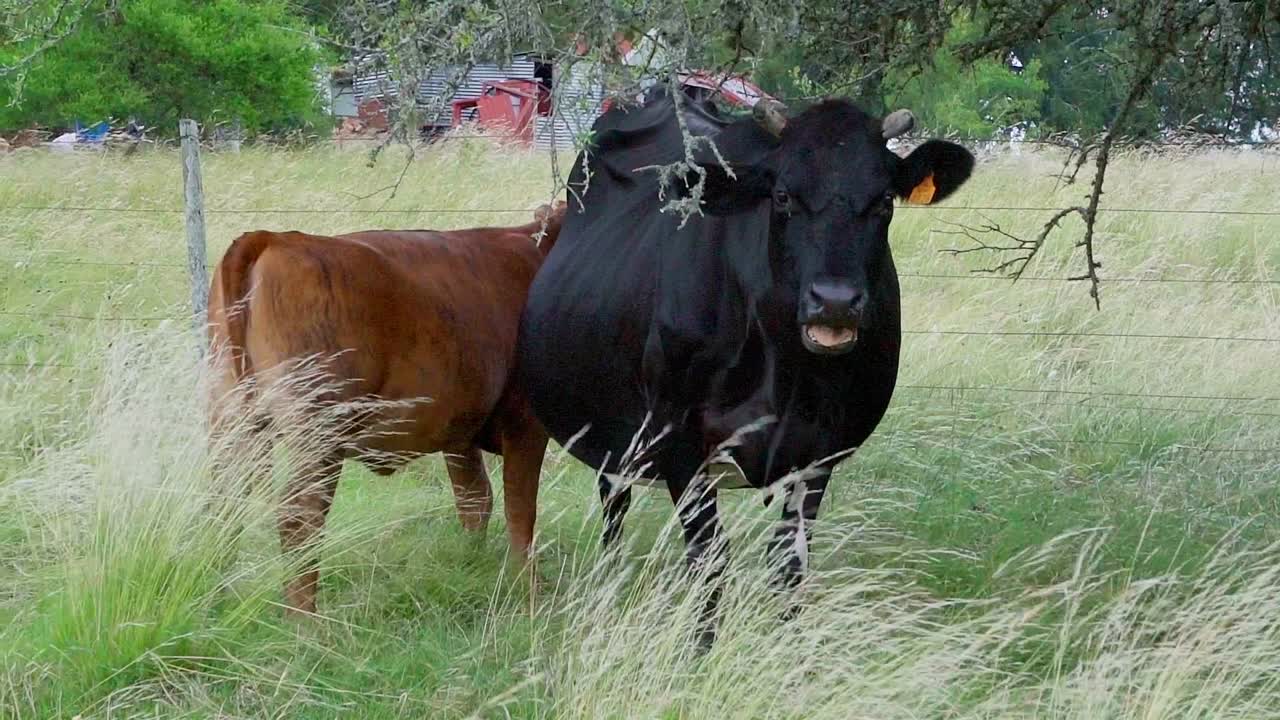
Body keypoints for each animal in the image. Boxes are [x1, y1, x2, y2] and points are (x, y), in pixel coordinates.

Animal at [207, 202, 566, 614]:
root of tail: (271, 238)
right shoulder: (525, 424)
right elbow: (520, 514)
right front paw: (532, 597)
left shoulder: (459, 432)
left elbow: (475, 500)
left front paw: (473, 565)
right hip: (316, 435)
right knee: (299, 519)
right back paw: (307, 623)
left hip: (228, 425)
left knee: (221, 508)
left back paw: (215, 602)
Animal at [517, 86, 974, 644]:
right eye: (782, 196)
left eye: (884, 201)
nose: (835, 302)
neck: (789, 372)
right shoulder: (680, 442)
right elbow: (709, 559)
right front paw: (701, 654)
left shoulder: (821, 451)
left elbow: (790, 561)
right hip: (613, 431)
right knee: (613, 508)